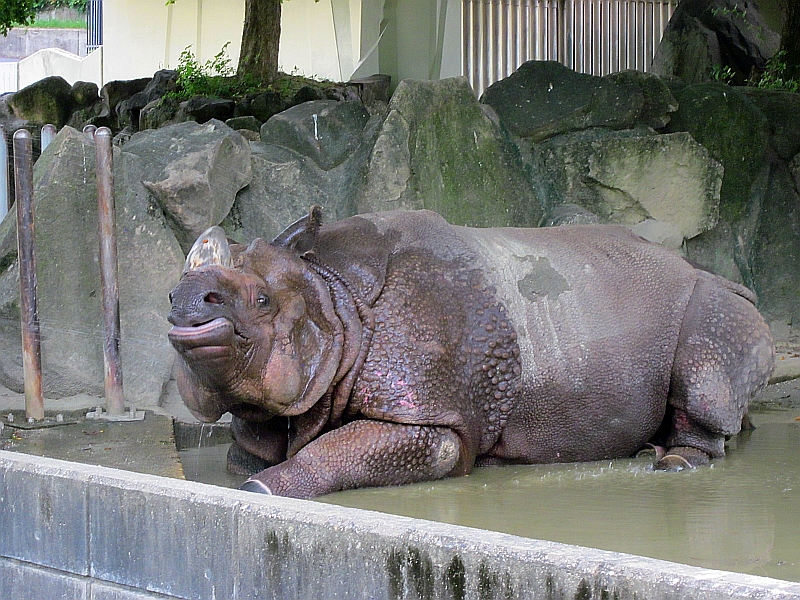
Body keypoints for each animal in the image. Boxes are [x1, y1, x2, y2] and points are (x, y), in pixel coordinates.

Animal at [168, 207, 775, 499]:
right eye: (173, 293)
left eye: (262, 301)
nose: (183, 303)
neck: (332, 294)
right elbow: (244, 452)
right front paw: (248, 473)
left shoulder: (438, 415)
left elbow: (349, 450)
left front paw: (261, 490)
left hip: (716, 303)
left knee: (707, 369)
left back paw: (672, 464)